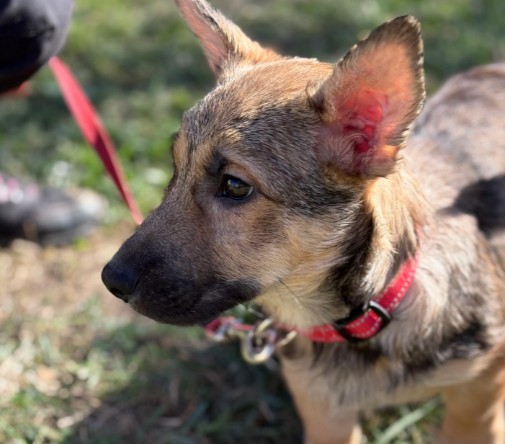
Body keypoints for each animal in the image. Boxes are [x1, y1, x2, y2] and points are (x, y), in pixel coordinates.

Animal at [101, 1, 505, 442]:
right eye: (175, 167)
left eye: (235, 186)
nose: (111, 280)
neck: (371, 309)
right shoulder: (326, 415)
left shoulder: (478, 397)